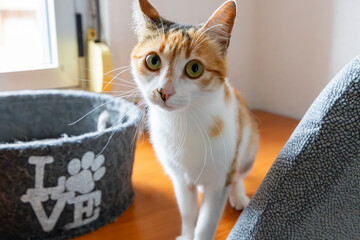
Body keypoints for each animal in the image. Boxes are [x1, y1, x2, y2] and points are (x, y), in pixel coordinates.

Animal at [129, 0, 258, 239]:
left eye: (194, 68)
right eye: (153, 61)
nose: (164, 91)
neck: (183, 121)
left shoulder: (219, 181)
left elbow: (207, 222)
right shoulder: (180, 179)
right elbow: (188, 213)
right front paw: (187, 233)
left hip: (247, 148)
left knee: (237, 176)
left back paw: (238, 196)